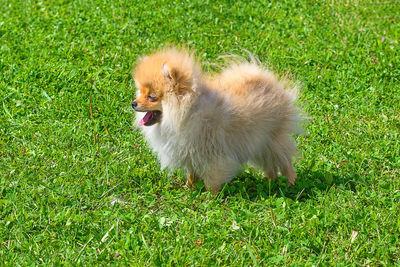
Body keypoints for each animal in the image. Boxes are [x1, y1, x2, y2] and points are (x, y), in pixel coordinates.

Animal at [133, 48, 302, 194]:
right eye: (140, 92)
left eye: (151, 97)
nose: (133, 103)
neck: (189, 112)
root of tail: (269, 81)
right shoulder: (189, 152)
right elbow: (191, 174)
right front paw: (188, 190)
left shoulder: (212, 155)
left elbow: (212, 180)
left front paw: (211, 198)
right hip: (259, 144)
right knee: (271, 168)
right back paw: (270, 183)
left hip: (273, 142)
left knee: (286, 164)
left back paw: (291, 184)